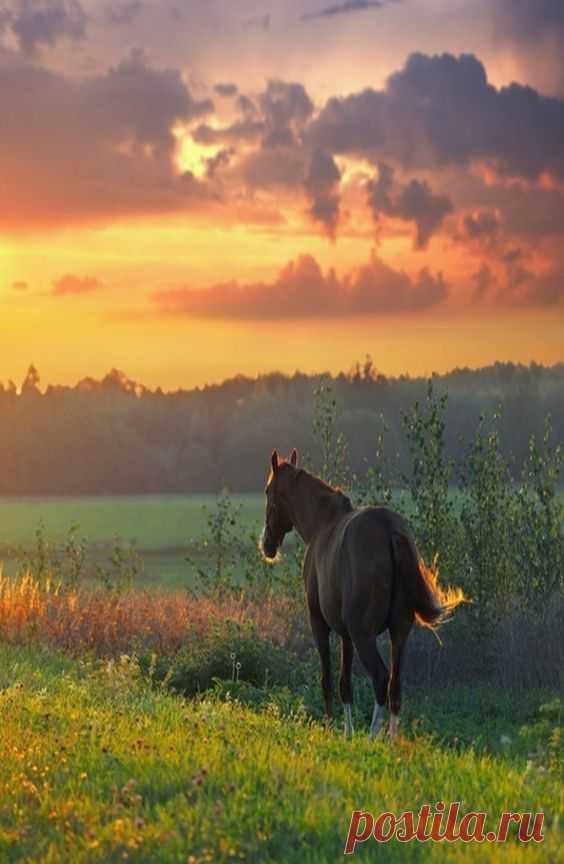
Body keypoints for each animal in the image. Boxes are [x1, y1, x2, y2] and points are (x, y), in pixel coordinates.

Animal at [262, 448, 464, 740]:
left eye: (268, 491)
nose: (266, 544)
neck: (323, 524)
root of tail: (390, 530)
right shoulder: (346, 634)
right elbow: (345, 684)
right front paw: (347, 733)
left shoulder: (320, 624)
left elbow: (328, 679)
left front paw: (331, 728)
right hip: (398, 633)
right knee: (394, 687)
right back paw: (389, 741)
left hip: (363, 636)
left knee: (380, 679)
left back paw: (371, 738)